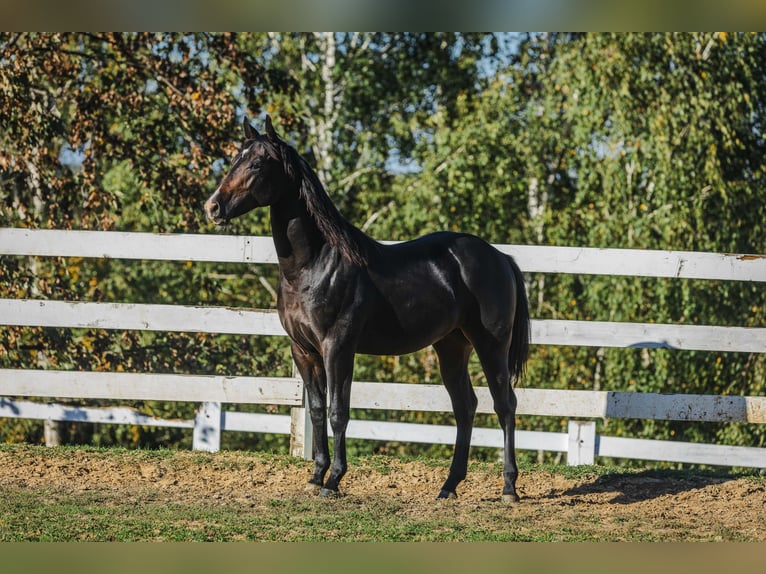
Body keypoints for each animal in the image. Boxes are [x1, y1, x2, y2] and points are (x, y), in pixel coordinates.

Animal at [204, 116, 532, 504]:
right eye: (234, 160)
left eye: (256, 164)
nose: (213, 207)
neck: (315, 264)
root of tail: (500, 256)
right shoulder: (304, 351)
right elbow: (317, 411)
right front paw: (315, 476)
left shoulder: (338, 348)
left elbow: (338, 412)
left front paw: (334, 480)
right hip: (451, 347)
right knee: (465, 407)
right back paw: (448, 486)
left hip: (491, 345)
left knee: (505, 405)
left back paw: (509, 487)